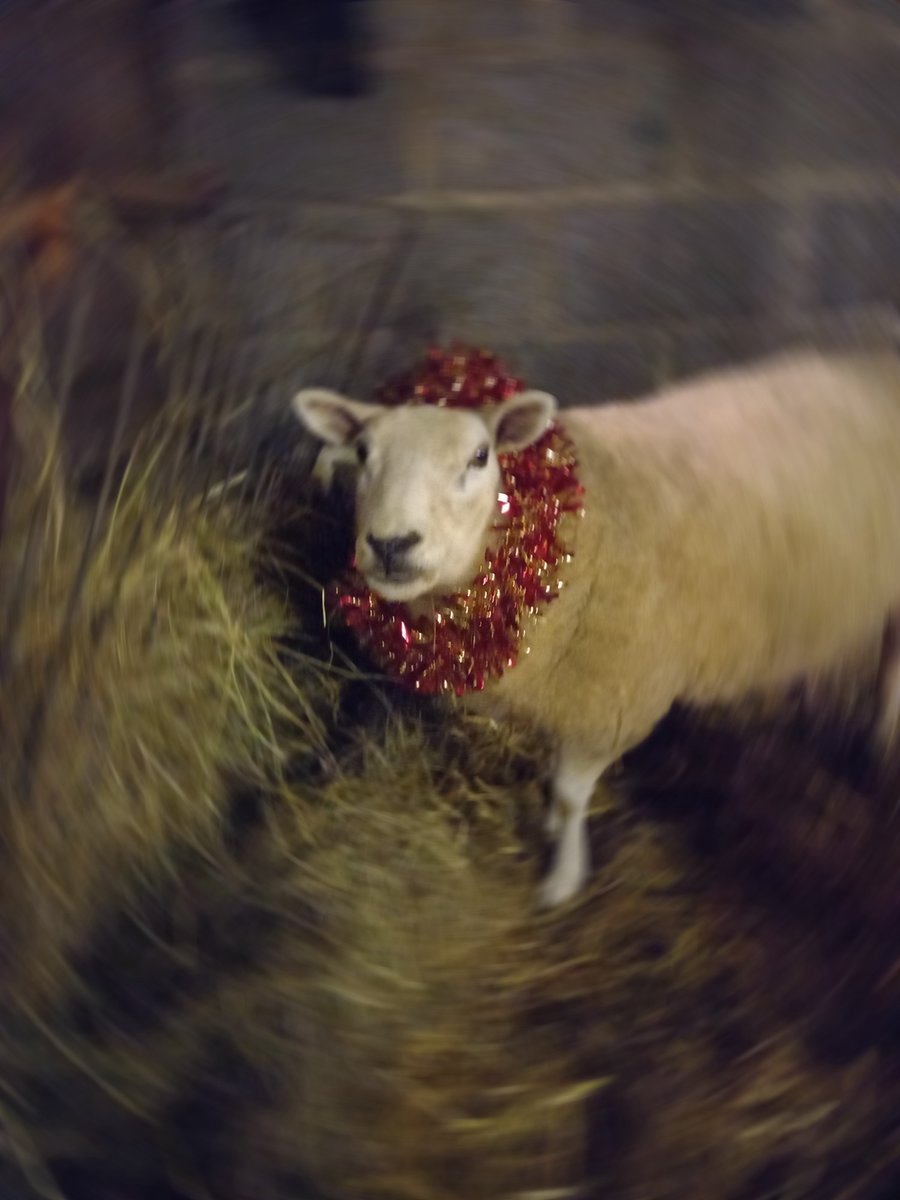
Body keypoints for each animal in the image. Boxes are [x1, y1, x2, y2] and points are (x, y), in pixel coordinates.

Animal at [294, 352, 900, 907]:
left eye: (480, 456)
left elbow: (568, 796)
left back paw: (881, 738)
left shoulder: (612, 701)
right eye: (363, 453)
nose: (392, 544)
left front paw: (562, 878)